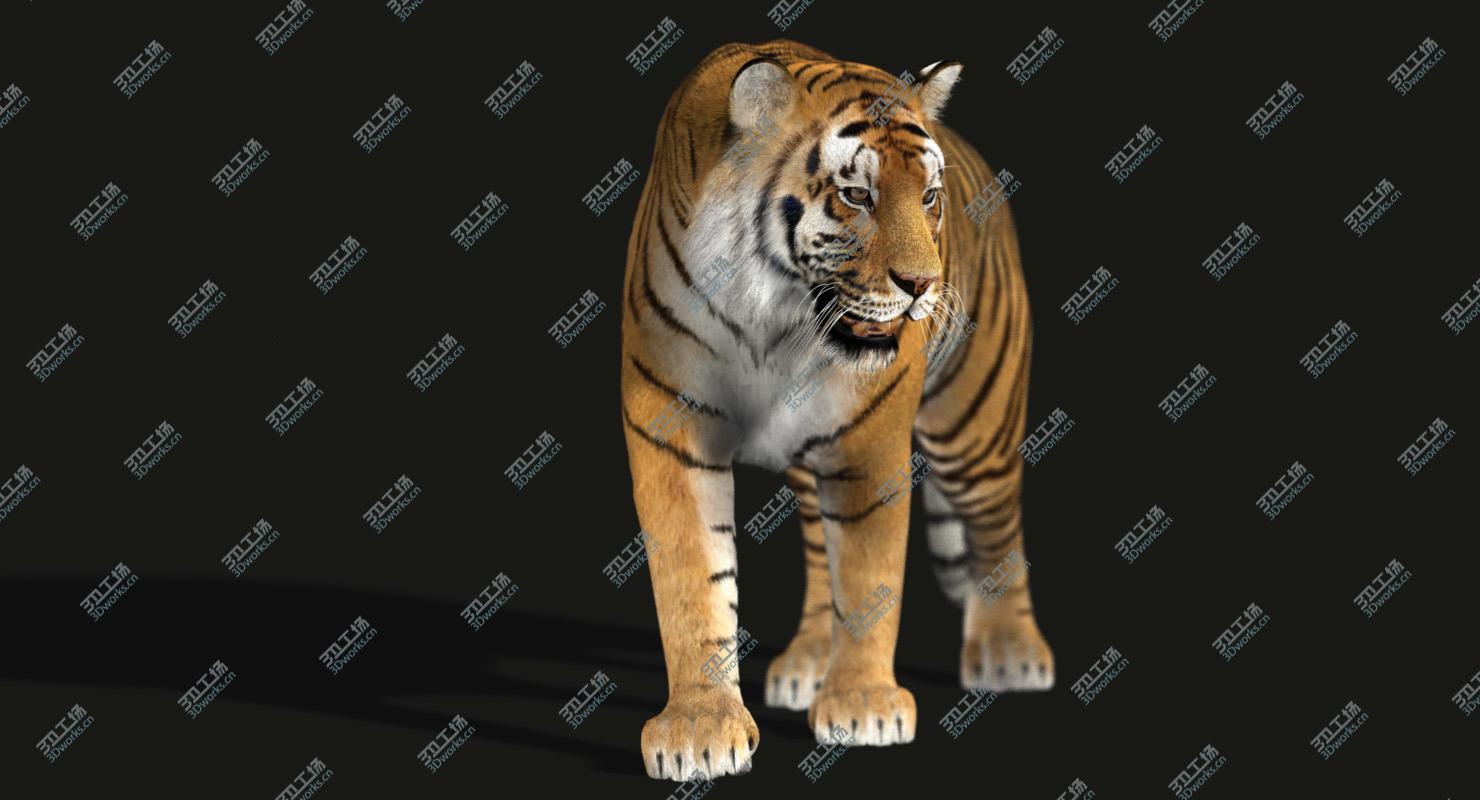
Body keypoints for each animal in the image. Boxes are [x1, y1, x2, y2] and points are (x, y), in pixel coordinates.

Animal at [619, 39, 1053, 781]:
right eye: (856, 195)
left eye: (928, 197)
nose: (923, 285)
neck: (773, 324)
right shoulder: (669, 421)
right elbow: (691, 578)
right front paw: (698, 730)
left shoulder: (869, 441)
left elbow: (871, 574)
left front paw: (863, 706)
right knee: (823, 554)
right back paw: (810, 661)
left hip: (974, 420)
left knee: (997, 525)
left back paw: (1010, 651)